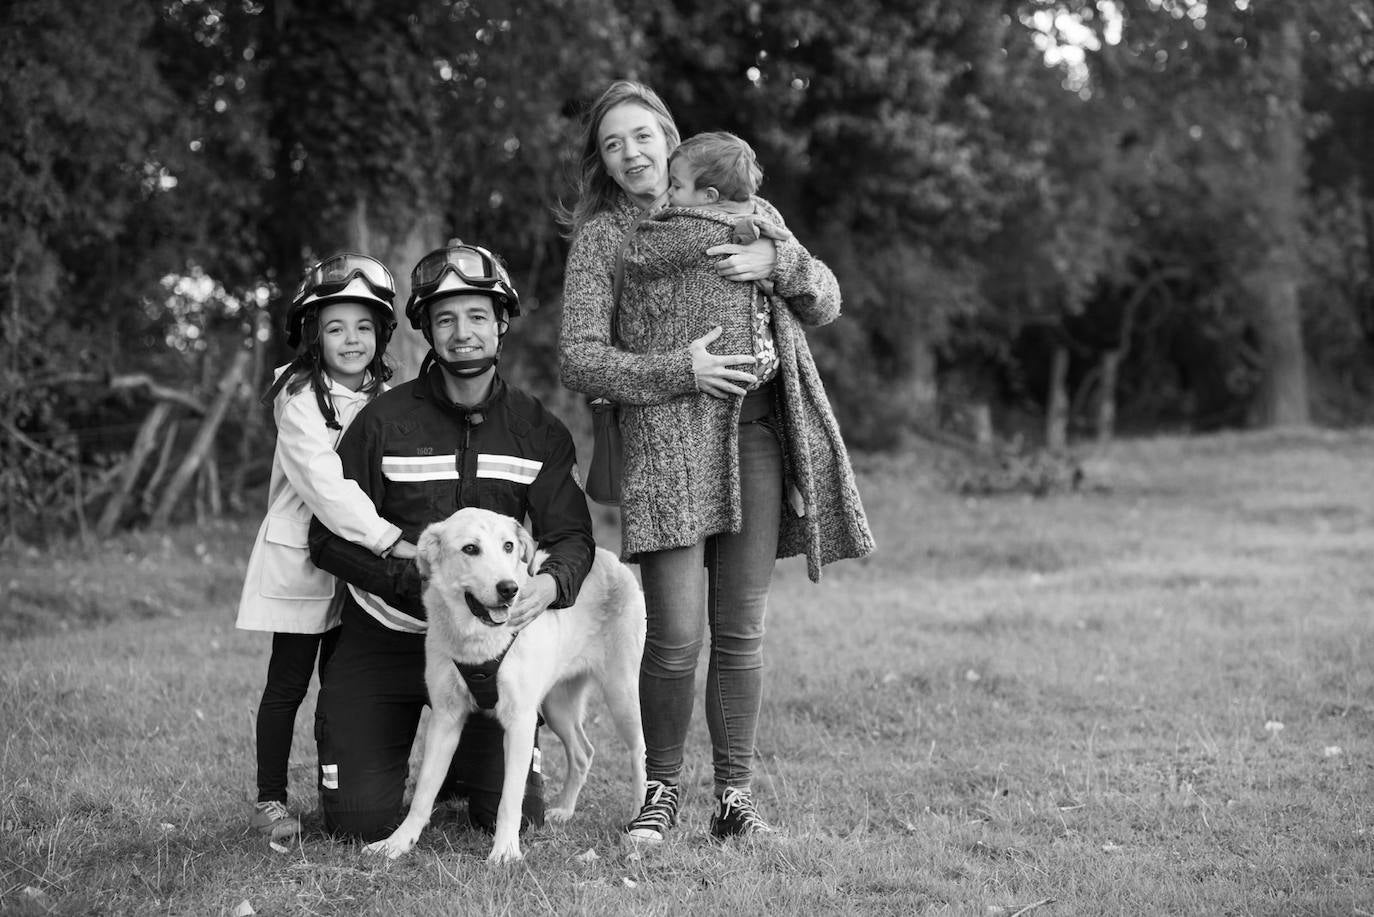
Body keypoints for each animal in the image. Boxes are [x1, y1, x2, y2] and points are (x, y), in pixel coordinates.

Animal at [362, 508, 645, 863]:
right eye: (470, 549)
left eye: (508, 546)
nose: (509, 588)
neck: (478, 640)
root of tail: (608, 557)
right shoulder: (445, 719)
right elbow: (423, 793)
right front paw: (399, 842)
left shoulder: (520, 722)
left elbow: (509, 798)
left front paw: (506, 852)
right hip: (557, 706)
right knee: (583, 752)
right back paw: (565, 810)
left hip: (621, 694)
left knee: (638, 751)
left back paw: (639, 816)